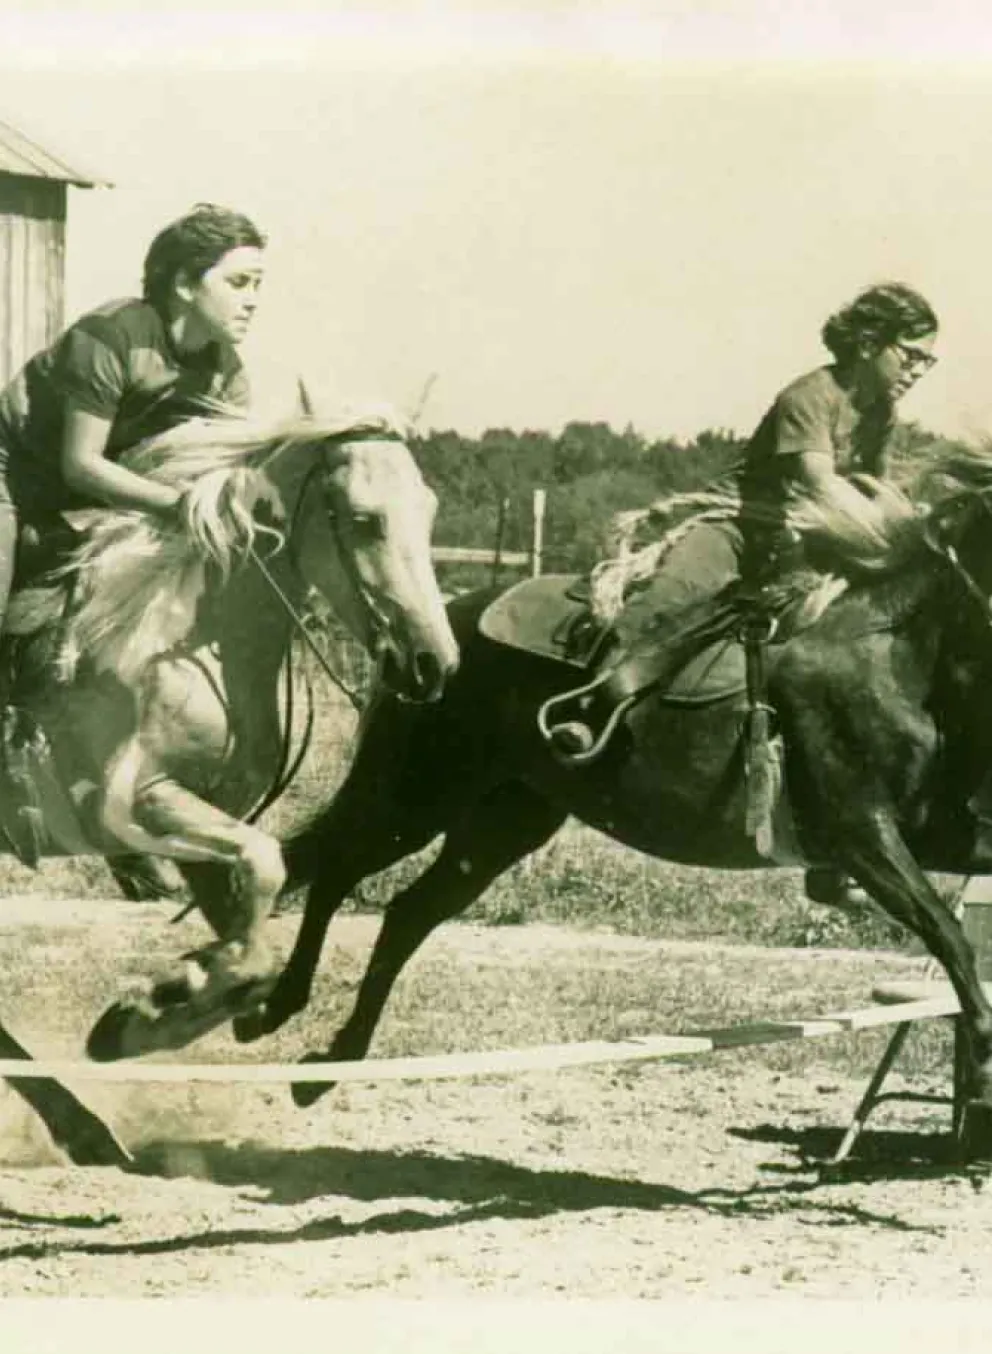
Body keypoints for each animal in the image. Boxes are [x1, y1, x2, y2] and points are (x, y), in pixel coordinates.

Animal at [0, 407, 458, 1165]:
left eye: (428, 513)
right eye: (364, 521)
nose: (433, 664)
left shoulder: (208, 823)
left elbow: (258, 945)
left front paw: (148, 1010)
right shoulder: (136, 804)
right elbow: (268, 867)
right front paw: (150, 1010)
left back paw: (85, 1127)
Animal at [233, 445, 992, 1153]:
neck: (896, 650)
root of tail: (432, 640)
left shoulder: (932, 831)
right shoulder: (862, 833)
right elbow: (948, 932)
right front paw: (982, 1059)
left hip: (503, 823)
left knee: (405, 913)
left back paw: (328, 1062)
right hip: (417, 797)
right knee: (333, 869)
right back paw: (272, 1011)